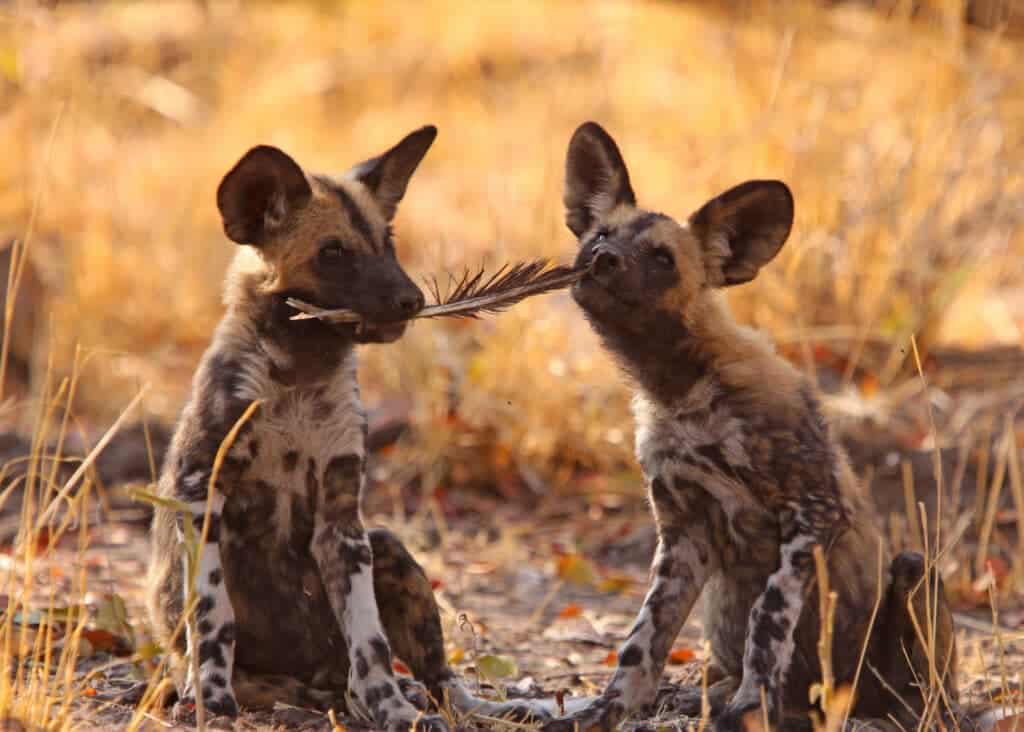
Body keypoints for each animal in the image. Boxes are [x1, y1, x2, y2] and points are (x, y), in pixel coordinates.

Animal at [146, 128, 552, 728]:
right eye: (333, 253)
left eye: (388, 242)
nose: (412, 301)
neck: (299, 371)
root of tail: (320, 683)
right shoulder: (203, 502)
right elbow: (215, 618)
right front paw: (213, 703)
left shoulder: (342, 525)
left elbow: (371, 641)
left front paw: (393, 710)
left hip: (388, 550)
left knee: (440, 682)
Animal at [540, 121, 970, 732]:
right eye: (599, 234)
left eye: (662, 258)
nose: (601, 259)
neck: (682, 388)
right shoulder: (683, 534)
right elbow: (641, 642)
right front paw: (606, 709)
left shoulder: (812, 516)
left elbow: (768, 624)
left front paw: (749, 708)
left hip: (911, 576)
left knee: (922, 691)